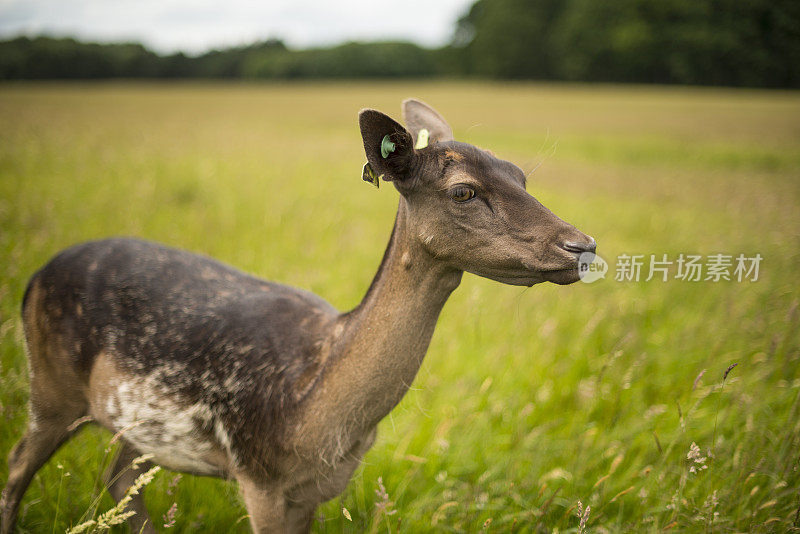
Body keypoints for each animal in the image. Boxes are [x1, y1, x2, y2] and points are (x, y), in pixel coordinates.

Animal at [0, 98, 592, 532]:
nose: (581, 245)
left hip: (133, 427)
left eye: (521, 175)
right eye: (464, 190)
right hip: (51, 387)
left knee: (116, 475)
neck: (318, 413)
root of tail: (33, 279)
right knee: (17, 467)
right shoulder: (259, 475)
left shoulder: (316, 492)